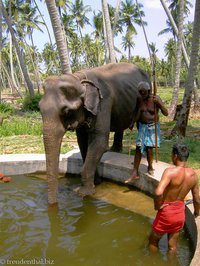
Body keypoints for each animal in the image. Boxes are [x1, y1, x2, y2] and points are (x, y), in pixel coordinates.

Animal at [39, 62, 152, 204]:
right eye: (39, 108)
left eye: (67, 111)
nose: (53, 205)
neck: (79, 78)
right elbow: (82, 142)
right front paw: (96, 183)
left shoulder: (103, 103)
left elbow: (99, 143)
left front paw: (83, 192)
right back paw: (115, 150)